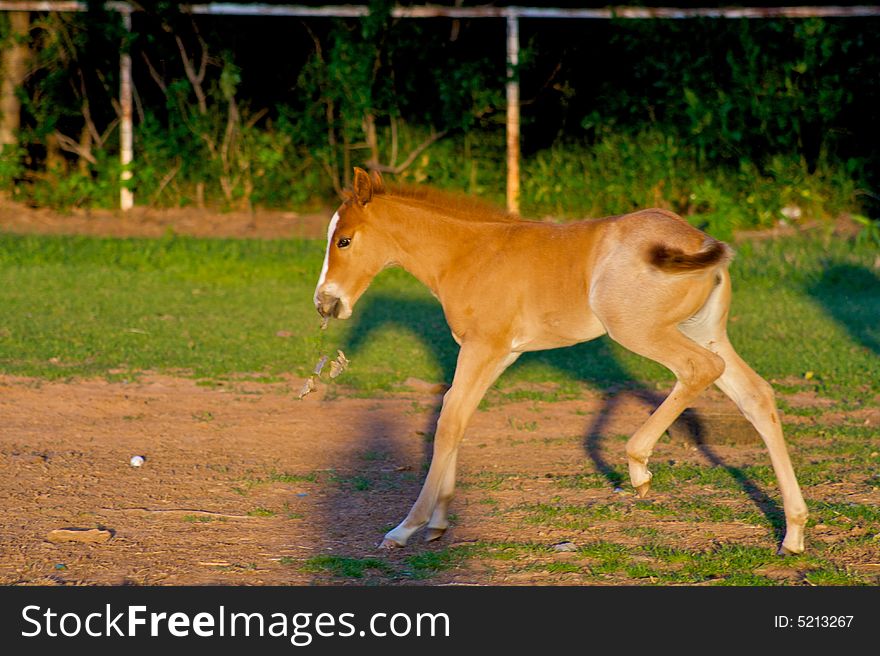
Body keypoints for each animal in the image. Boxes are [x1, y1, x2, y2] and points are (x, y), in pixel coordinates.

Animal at [312, 168, 808, 552]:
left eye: (345, 241)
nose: (325, 303)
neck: (468, 253)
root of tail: (696, 237)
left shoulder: (483, 347)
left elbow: (448, 421)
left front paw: (405, 528)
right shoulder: (500, 354)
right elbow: (459, 414)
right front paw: (438, 521)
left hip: (641, 332)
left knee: (698, 370)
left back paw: (638, 468)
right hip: (706, 332)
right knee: (756, 397)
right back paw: (793, 534)